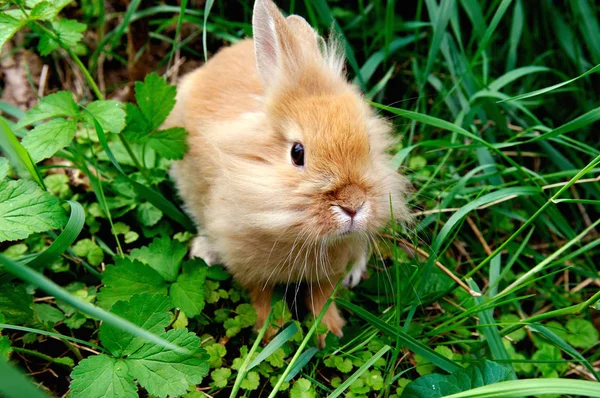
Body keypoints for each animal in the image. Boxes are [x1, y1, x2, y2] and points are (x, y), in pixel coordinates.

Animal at [162, 0, 410, 342]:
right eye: (297, 153)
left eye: (369, 145)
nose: (352, 205)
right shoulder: (247, 263)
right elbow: (260, 299)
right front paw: (270, 334)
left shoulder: (328, 270)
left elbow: (322, 296)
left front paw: (329, 332)